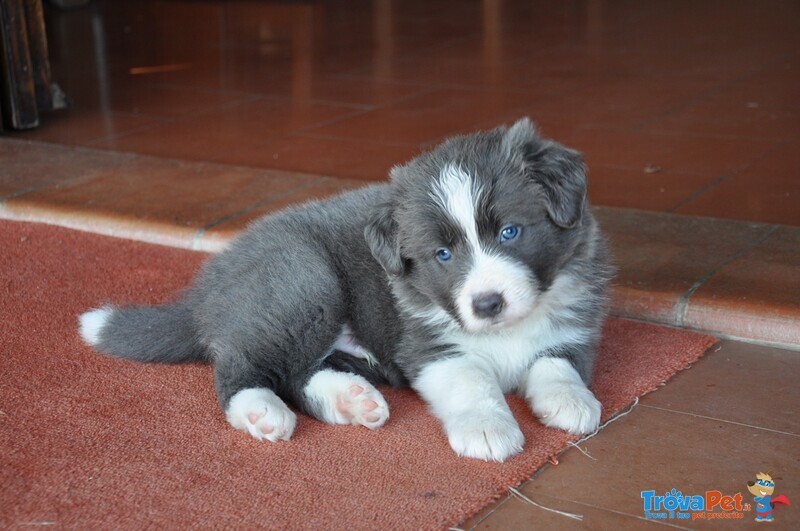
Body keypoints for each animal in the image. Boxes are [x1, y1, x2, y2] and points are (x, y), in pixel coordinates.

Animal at [78, 119, 608, 462]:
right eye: (442, 254)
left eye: (510, 232)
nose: (487, 304)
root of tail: (210, 286)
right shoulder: (427, 344)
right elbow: (470, 378)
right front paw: (487, 427)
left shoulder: (575, 326)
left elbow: (556, 362)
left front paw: (571, 400)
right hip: (304, 284)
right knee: (241, 364)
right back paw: (259, 411)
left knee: (299, 373)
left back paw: (350, 400)